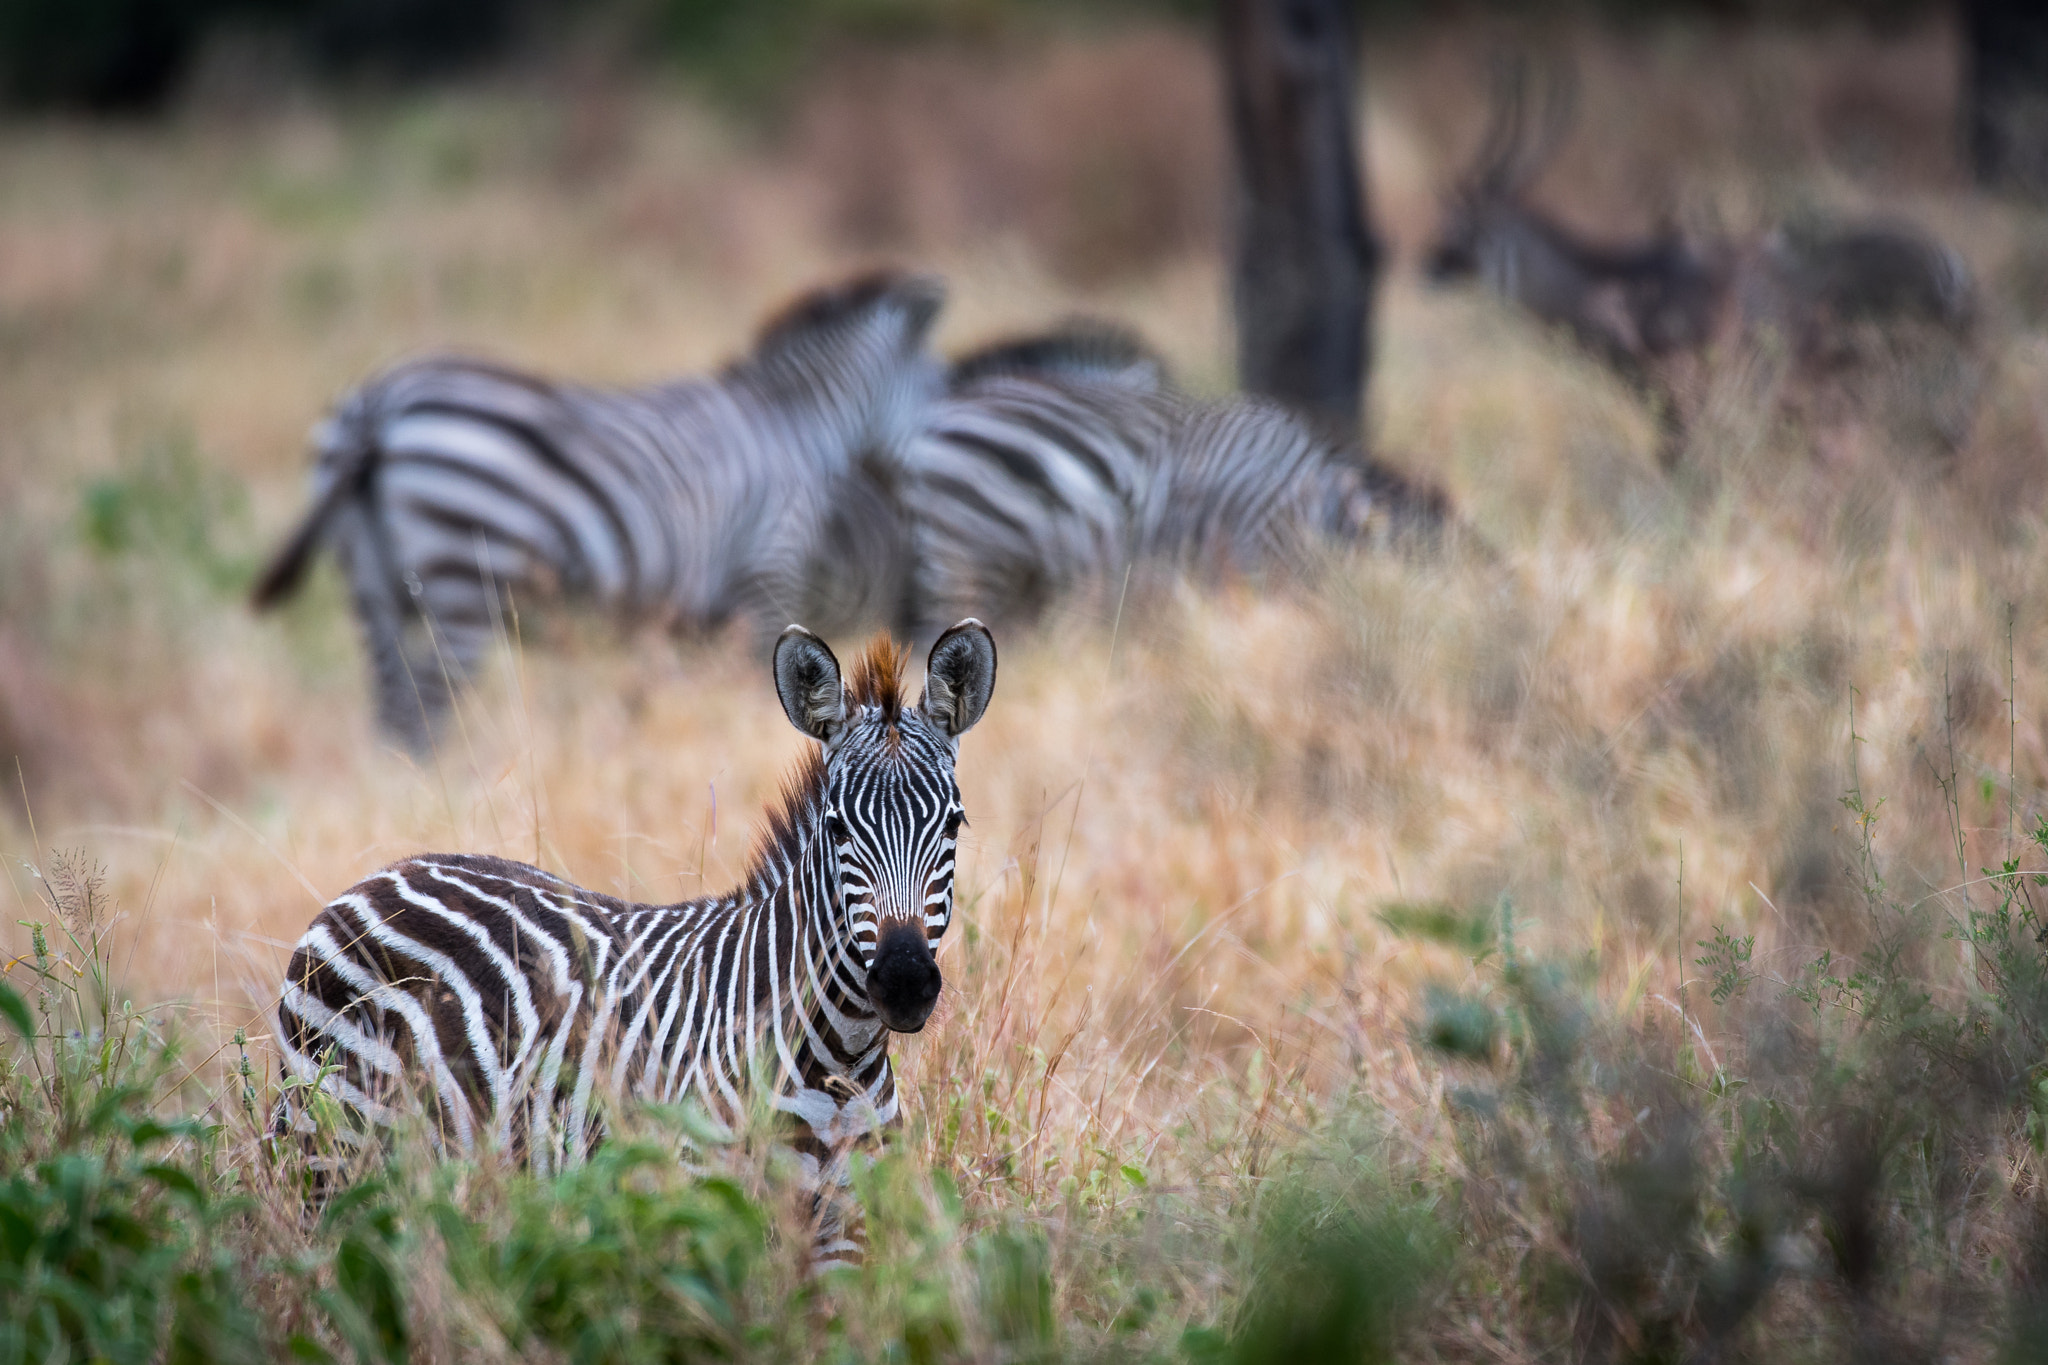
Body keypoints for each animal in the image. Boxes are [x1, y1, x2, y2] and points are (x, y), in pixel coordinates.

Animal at [249, 271, 945, 751]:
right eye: (945, 386)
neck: (794, 424)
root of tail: (376, 404)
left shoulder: (698, 618)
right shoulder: (768, 575)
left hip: (370, 585)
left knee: (393, 710)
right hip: (462, 580)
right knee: (424, 708)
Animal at [273, 619, 998, 1269]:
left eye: (955, 823)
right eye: (838, 827)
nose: (903, 983)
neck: (841, 1054)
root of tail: (380, 876)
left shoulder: (844, 1226)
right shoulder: (706, 1203)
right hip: (333, 1150)